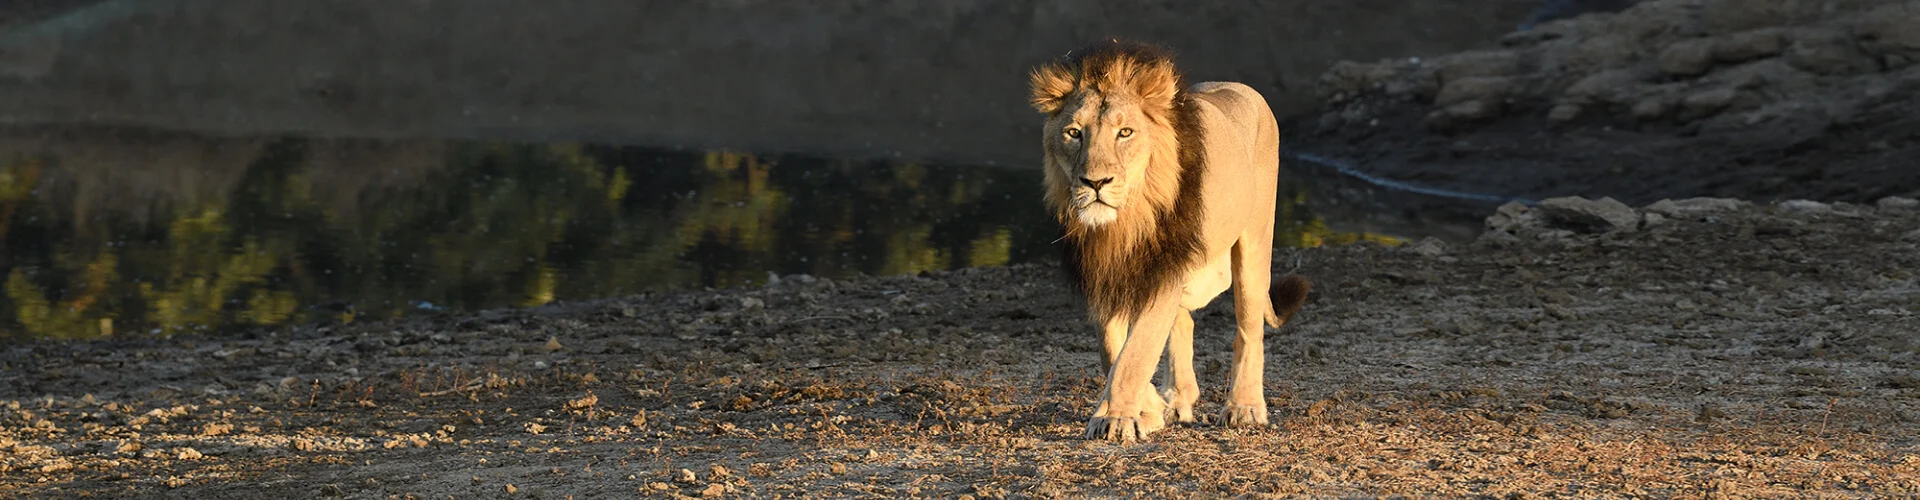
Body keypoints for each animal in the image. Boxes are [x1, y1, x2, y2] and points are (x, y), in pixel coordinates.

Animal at [1029, 42, 1313, 442]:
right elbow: (1112, 349)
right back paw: (1177, 398)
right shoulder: (1106, 272)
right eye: (1073, 133)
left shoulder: (1164, 269)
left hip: (1254, 243)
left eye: (1125, 132)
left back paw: (1244, 407)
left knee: (1249, 328)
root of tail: (1242, 89)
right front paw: (1148, 408)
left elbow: (1136, 351)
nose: (1095, 183)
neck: (1126, 220)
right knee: (1185, 322)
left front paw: (1116, 418)